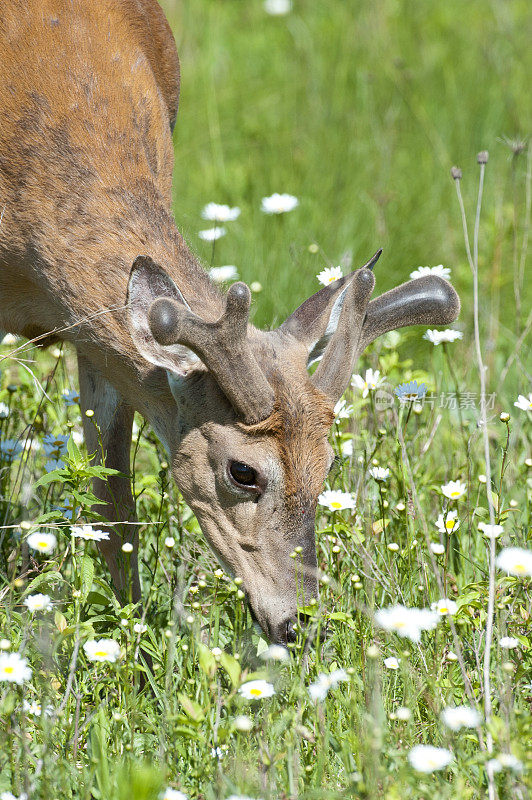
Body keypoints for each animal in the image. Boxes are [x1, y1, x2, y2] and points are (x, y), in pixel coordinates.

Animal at [0, 0, 458, 644]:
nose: (300, 623)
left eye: (330, 463)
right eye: (244, 472)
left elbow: (113, 504)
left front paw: (133, 637)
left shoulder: (91, 335)